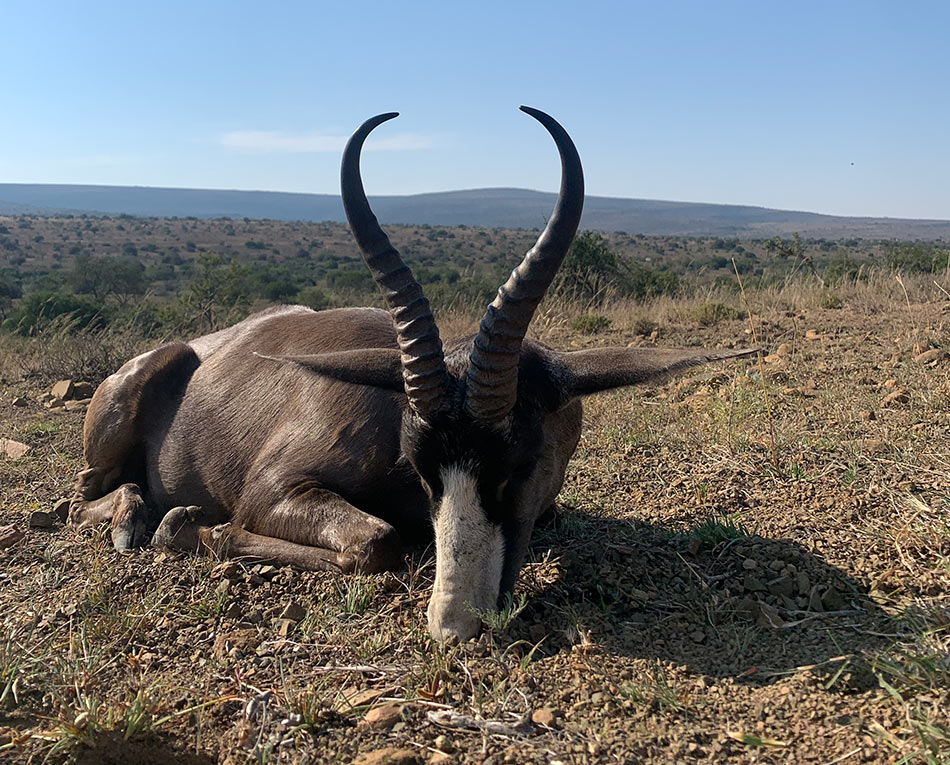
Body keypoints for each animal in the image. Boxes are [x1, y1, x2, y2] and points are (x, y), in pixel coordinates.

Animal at [67, 107, 756, 640]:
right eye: (423, 470)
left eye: (521, 464)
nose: (454, 625)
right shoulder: (272, 491)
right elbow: (378, 542)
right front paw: (188, 525)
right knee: (81, 499)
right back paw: (138, 520)